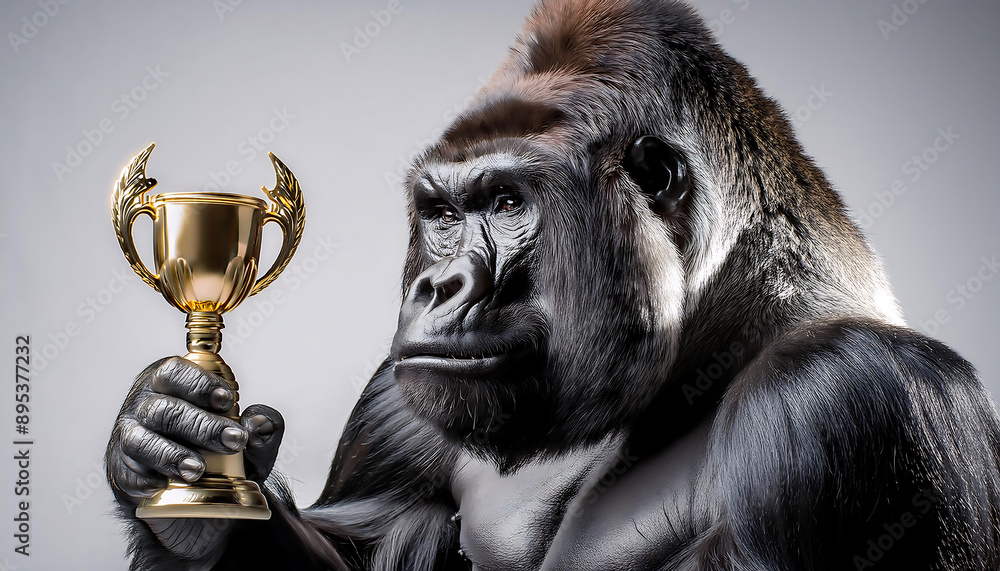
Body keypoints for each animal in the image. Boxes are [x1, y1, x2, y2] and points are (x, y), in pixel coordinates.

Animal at [106, 0, 1000, 569]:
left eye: (507, 203)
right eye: (441, 212)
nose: (438, 284)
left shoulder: (848, 393)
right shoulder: (397, 393)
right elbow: (362, 539)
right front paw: (172, 459)